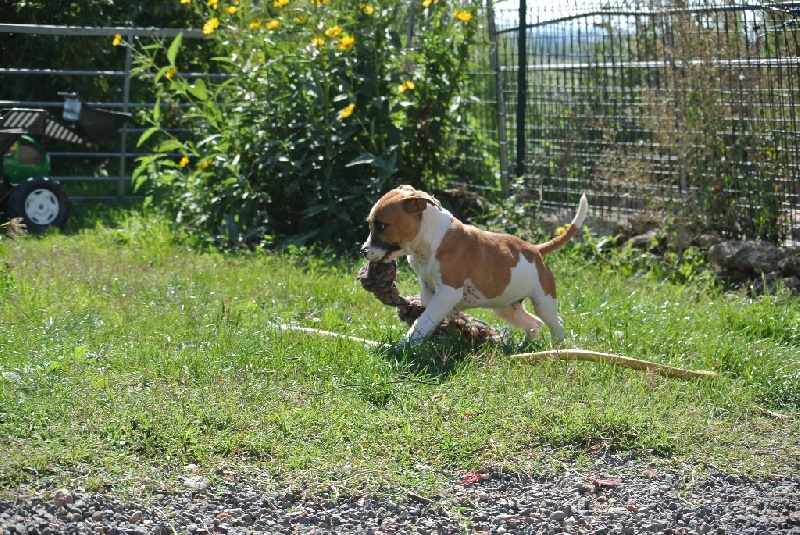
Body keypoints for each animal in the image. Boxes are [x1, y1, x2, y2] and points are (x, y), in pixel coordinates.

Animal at [362, 186, 588, 346]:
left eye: (381, 226)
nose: (363, 251)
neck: (430, 238)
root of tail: (535, 250)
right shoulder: (429, 285)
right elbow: (428, 301)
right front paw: (454, 314)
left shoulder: (448, 291)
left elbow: (425, 319)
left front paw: (407, 344)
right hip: (507, 308)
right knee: (534, 324)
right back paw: (524, 347)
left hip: (544, 300)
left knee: (555, 323)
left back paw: (557, 349)